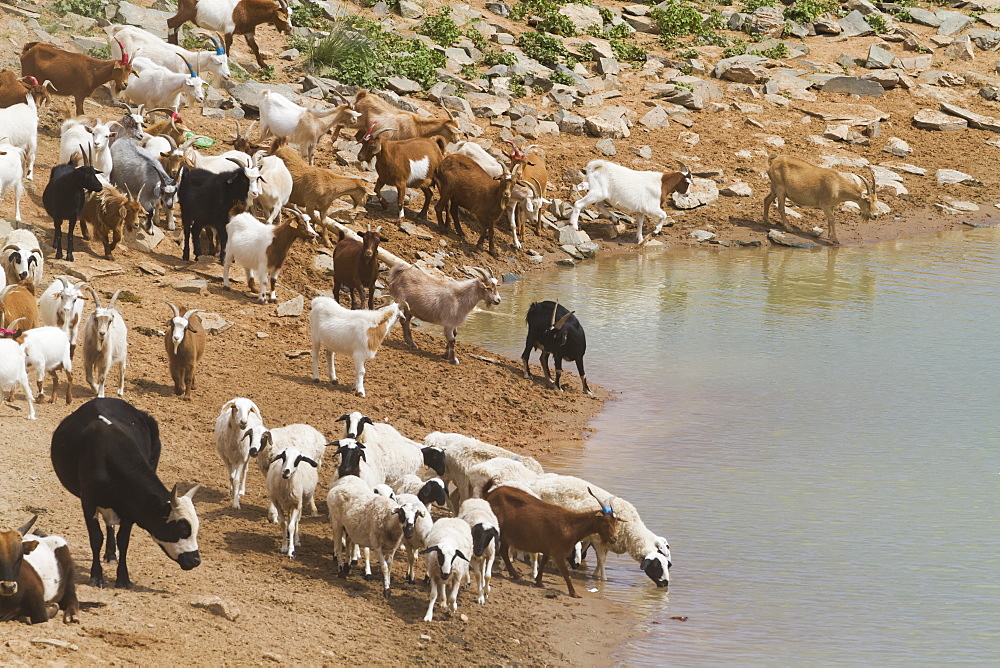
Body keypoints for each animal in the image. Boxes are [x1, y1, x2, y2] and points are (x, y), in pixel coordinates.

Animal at [51, 400, 201, 588]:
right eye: (182, 528)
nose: (196, 560)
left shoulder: (131, 505)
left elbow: (123, 541)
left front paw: (123, 577)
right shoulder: (88, 502)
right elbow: (96, 538)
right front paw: (96, 575)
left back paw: (111, 553)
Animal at [482, 482, 616, 596]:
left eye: (615, 522)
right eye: (605, 522)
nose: (614, 538)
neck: (571, 525)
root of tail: (489, 495)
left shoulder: (548, 547)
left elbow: (544, 562)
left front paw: (539, 581)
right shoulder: (558, 552)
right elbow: (566, 573)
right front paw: (574, 593)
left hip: (507, 537)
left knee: (503, 551)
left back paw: (515, 575)